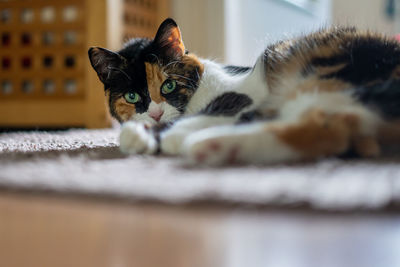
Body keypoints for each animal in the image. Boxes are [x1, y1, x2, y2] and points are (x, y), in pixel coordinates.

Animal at [89, 18, 400, 165]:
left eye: (169, 85)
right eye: (132, 96)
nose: (154, 114)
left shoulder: (241, 94)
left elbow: (218, 107)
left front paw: (155, 135)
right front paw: (144, 134)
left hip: (320, 73)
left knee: (329, 128)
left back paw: (207, 142)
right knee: (327, 133)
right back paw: (219, 147)